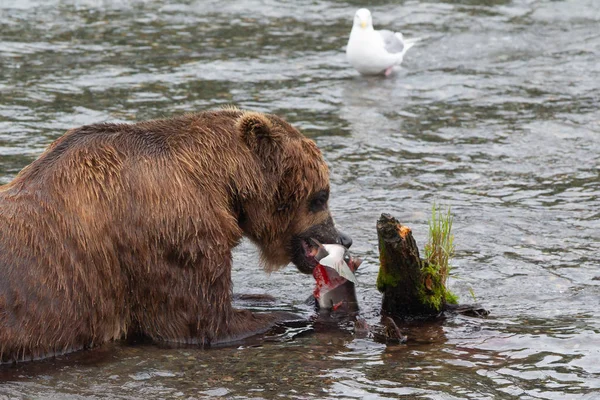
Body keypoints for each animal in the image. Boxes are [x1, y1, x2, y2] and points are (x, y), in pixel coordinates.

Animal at [0, 107, 352, 362]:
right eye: (322, 195)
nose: (344, 238)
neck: (218, 183)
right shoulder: (172, 234)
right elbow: (204, 322)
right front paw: (302, 315)